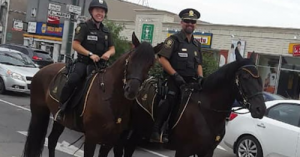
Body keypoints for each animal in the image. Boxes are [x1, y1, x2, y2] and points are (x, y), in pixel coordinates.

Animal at [22, 32, 164, 157]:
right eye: (130, 60)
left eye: (150, 64)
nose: (132, 90)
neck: (111, 99)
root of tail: (42, 70)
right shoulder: (91, 137)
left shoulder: (110, 140)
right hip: (39, 112)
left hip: (59, 120)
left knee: (52, 140)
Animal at [99, 51, 266, 156]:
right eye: (245, 78)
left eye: (260, 79)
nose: (260, 109)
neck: (206, 111)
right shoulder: (183, 150)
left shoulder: (207, 152)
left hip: (137, 132)